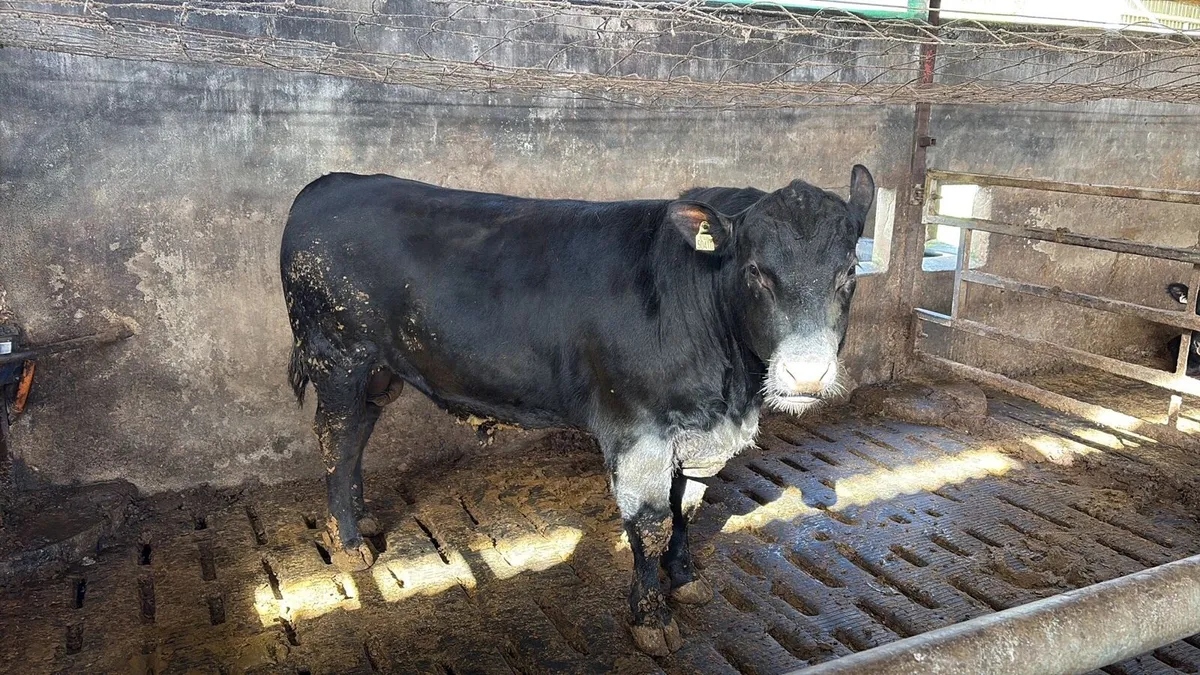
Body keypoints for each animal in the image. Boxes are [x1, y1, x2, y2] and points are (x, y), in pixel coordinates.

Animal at [280, 165, 874, 656]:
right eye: (755, 271)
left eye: (849, 271)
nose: (806, 375)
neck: (731, 392)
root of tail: (328, 183)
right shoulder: (638, 434)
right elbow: (651, 522)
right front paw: (652, 618)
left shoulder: (700, 438)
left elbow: (689, 508)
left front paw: (685, 580)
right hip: (339, 358)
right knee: (336, 442)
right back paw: (350, 542)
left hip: (377, 373)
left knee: (357, 438)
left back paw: (357, 522)